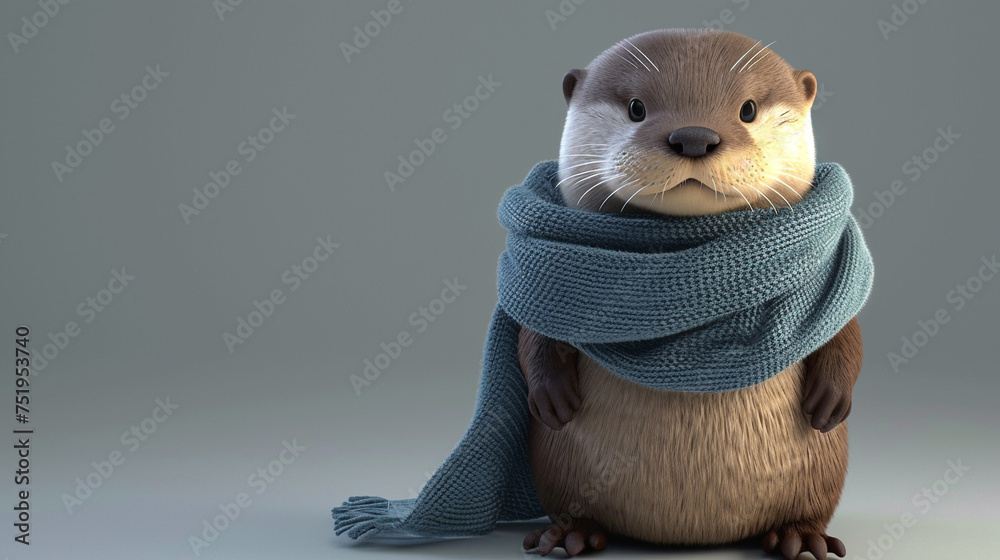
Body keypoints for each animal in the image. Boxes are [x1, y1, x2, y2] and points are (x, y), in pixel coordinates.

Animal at [518, 30, 862, 560]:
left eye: (748, 109)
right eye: (636, 107)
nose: (695, 136)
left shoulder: (827, 271)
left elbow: (844, 327)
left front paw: (832, 396)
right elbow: (532, 328)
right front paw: (550, 392)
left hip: (823, 467)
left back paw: (800, 536)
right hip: (556, 465)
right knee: (570, 507)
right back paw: (570, 534)